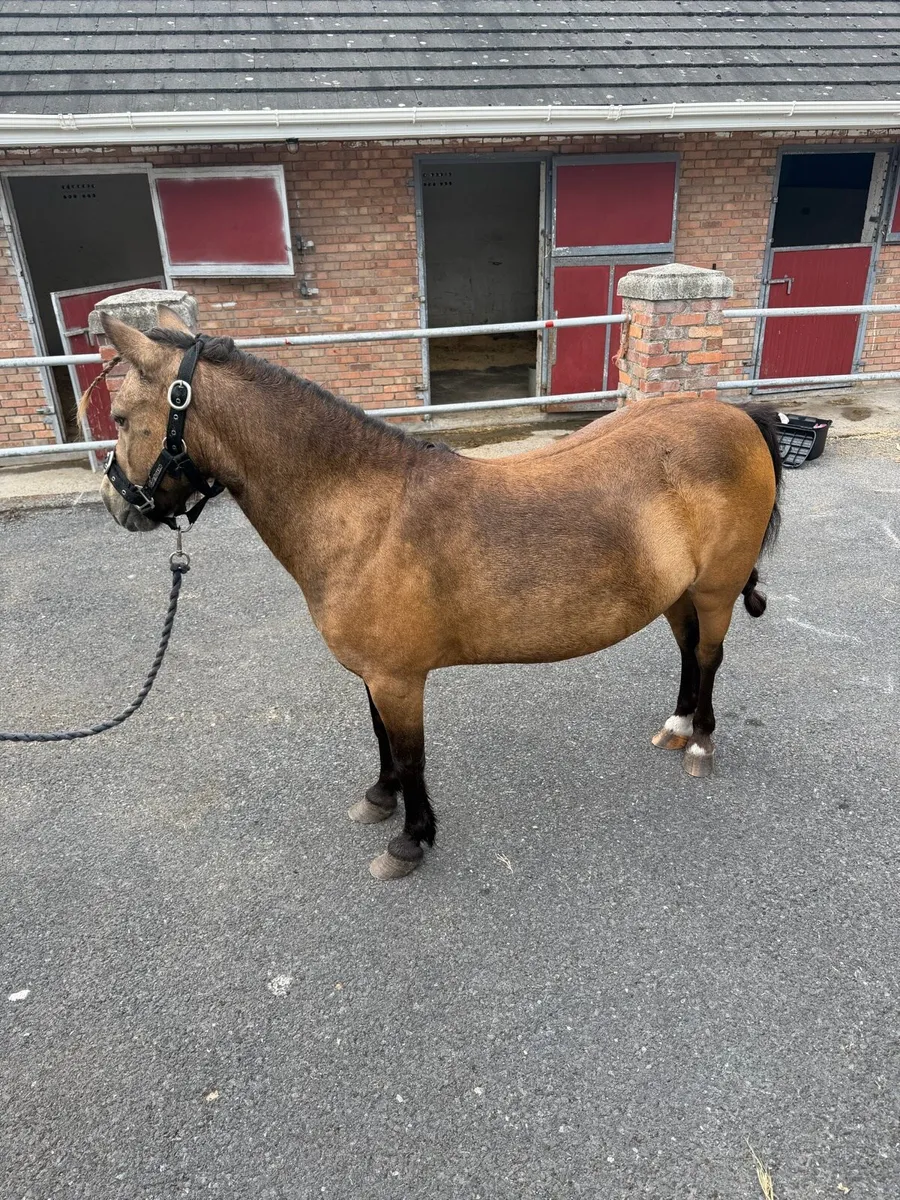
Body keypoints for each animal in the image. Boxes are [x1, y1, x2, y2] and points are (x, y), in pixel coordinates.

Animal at [98, 307, 782, 881]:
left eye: (120, 417)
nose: (115, 505)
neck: (365, 513)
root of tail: (737, 417)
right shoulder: (377, 674)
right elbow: (383, 741)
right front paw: (379, 799)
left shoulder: (400, 678)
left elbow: (411, 756)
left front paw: (411, 839)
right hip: (677, 593)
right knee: (689, 651)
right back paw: (677, 726)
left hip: (716, 590)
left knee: (709, 656)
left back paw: (701, 742)